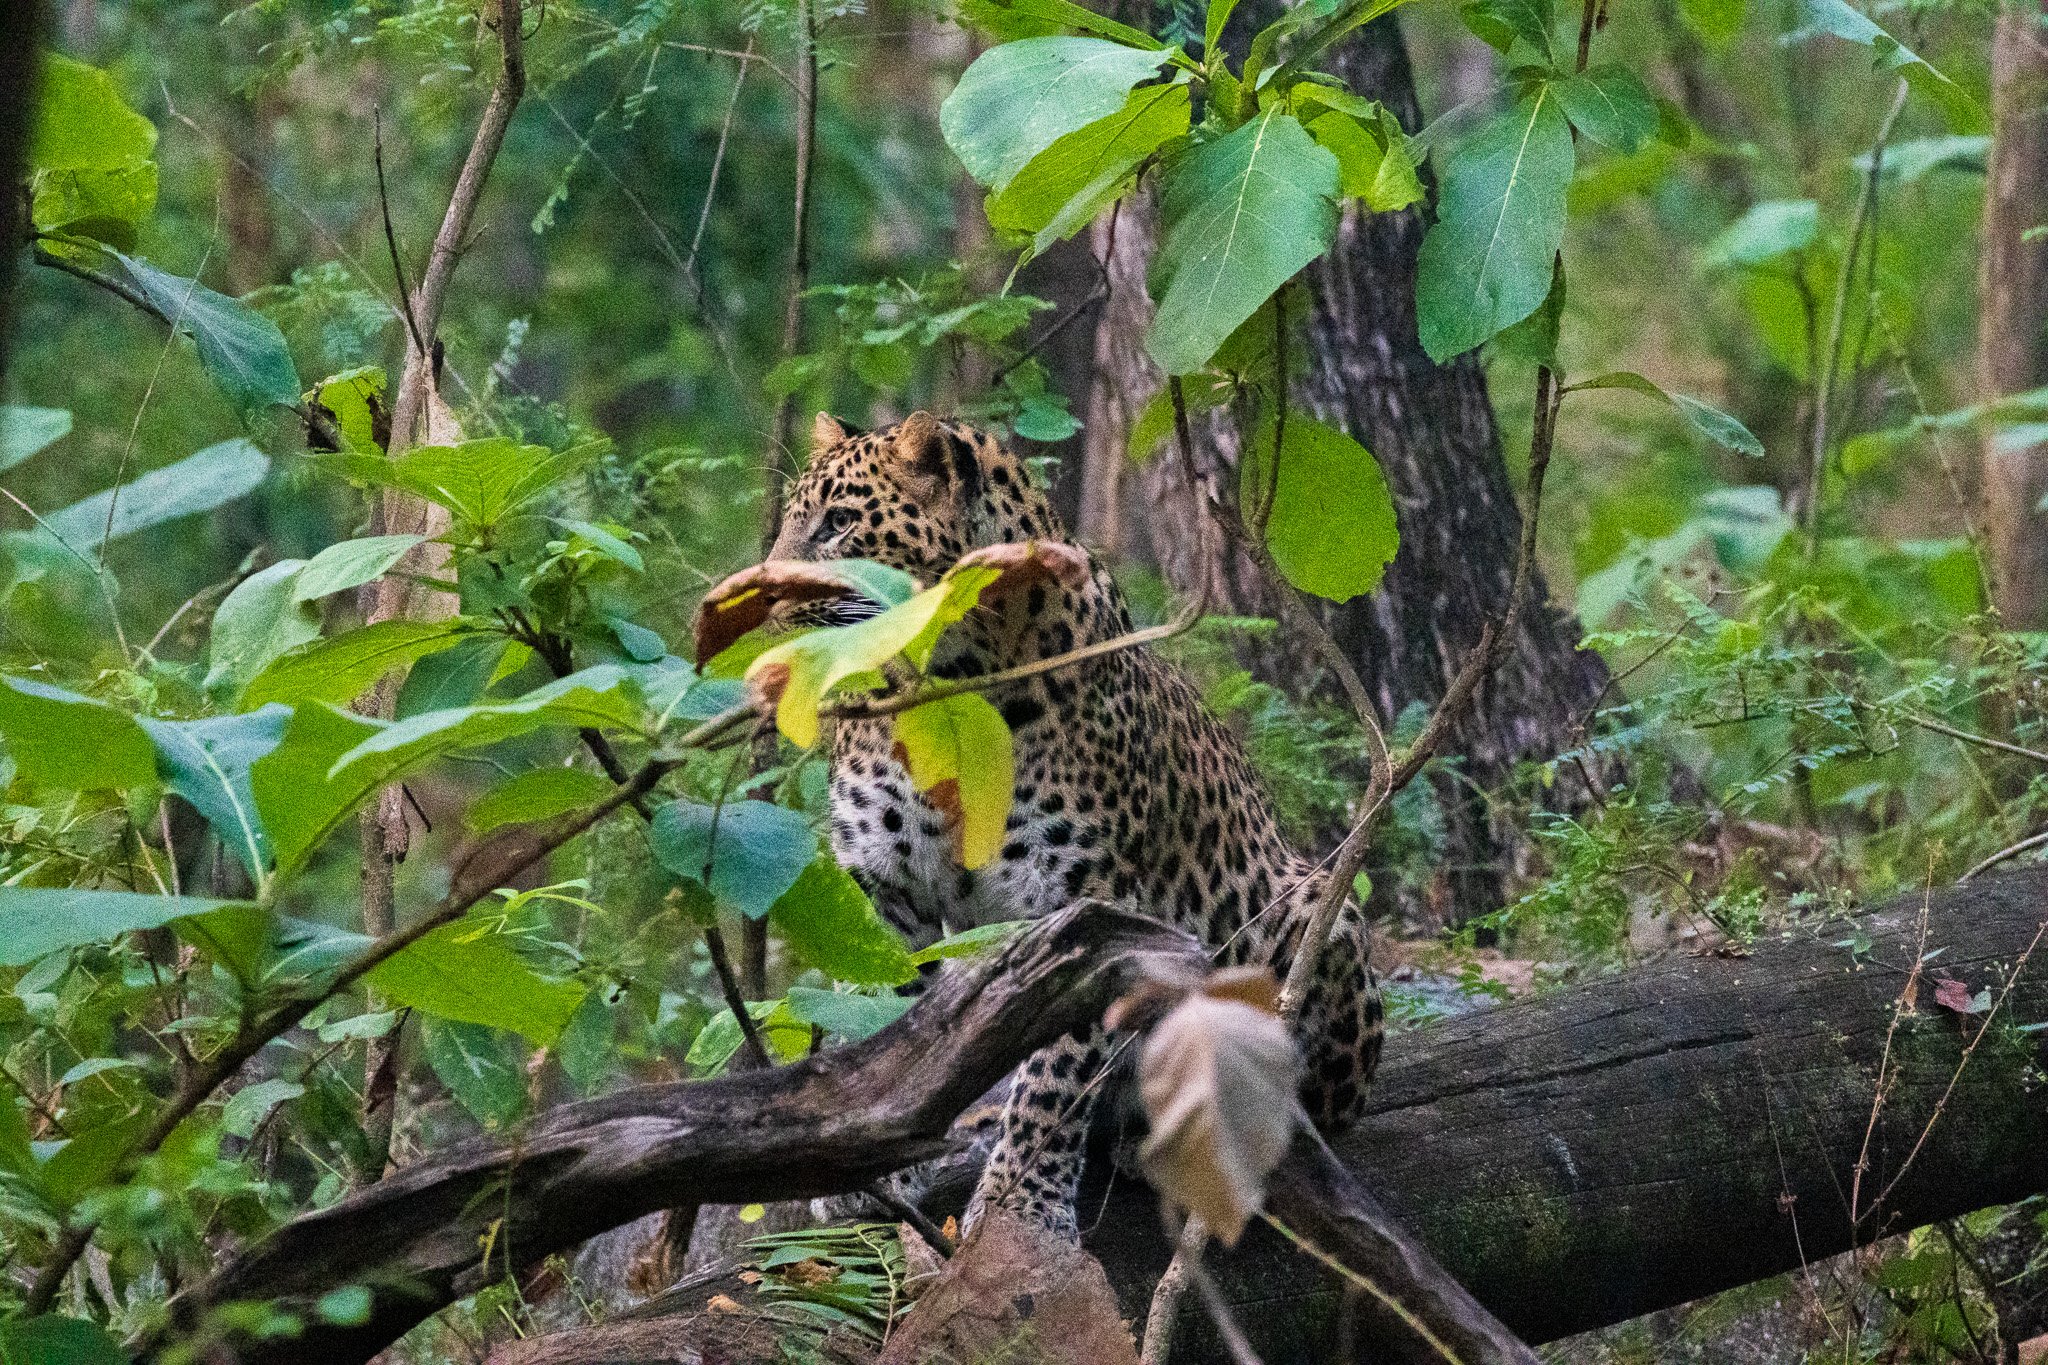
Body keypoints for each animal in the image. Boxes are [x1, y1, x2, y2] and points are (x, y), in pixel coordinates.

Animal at [770, 405, 1392, 1236]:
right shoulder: (883, 886)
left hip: (1317, 916)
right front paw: (860, 1167)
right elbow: (875, 1019)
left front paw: (1018, 1206)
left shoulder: (1082, 909)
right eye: (788, 521)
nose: (765, 599)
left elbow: (1054, 1077)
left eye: (838, 523)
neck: (943, 695)